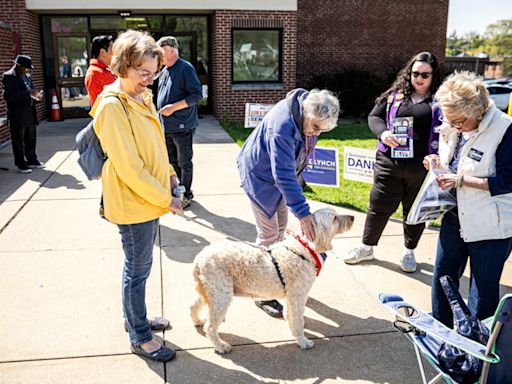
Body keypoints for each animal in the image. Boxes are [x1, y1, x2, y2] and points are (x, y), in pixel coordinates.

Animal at [190, 208, 354, 352]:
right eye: (334, 218)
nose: (352, 217)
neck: (305, 248)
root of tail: (199, 258)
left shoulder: (291, 297)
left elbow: (290, 315)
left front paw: (293, 330)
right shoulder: (298, 296)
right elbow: (298, 320)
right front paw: (302, 340)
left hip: (211, 291)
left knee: (193, 306)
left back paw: (197, 321)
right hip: (221, 295)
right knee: (210, 327)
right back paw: (220, 346)